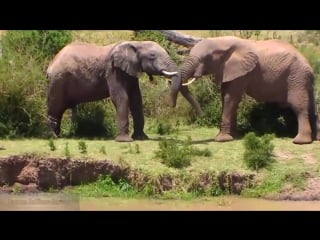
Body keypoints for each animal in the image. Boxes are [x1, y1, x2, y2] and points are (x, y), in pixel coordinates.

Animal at [46, 40, 201, 142]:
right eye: (152, 55)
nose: (171, 105)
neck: (135, 44)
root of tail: (51, 63)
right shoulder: (112, 70)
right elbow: (121, 98)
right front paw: (125, 141)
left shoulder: (130, 70)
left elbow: (136, 99)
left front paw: (141, 138)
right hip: (58, 81)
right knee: (56, 106)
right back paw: (54, 137)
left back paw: (58, 135)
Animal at [178, 35, 320, 144]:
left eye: (207, 57)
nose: (201, 114)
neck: (221, 41)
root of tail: (309, 64)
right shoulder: (229, 70)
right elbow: (226, 98)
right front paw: (234, 136)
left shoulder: (242, 72)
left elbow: (231, 98)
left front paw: (222, 139)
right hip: (303, 79)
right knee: (312, 107)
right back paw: (316, 139)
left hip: (296, 77)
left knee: (298, 106)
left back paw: (300, 141)